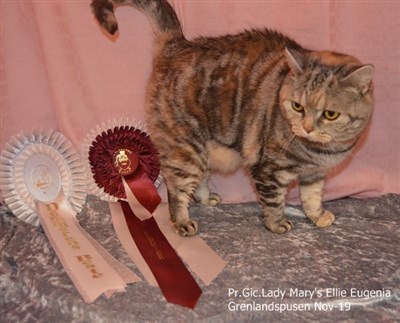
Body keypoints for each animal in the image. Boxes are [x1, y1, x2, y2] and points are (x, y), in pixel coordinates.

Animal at [92, 0, 374, 238]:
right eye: (297, 106)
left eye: (330, 114)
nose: (306, 128)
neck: (320, 152)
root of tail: (177, 44)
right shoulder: (268, 169)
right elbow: (274, 202)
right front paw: (277, 224)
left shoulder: (314, 174)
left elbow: (313, 197)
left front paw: (318, 216)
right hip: (186, 147)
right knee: (176, 189)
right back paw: (182, 222)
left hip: (203, 148)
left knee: (199, 180)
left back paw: (206, 199)